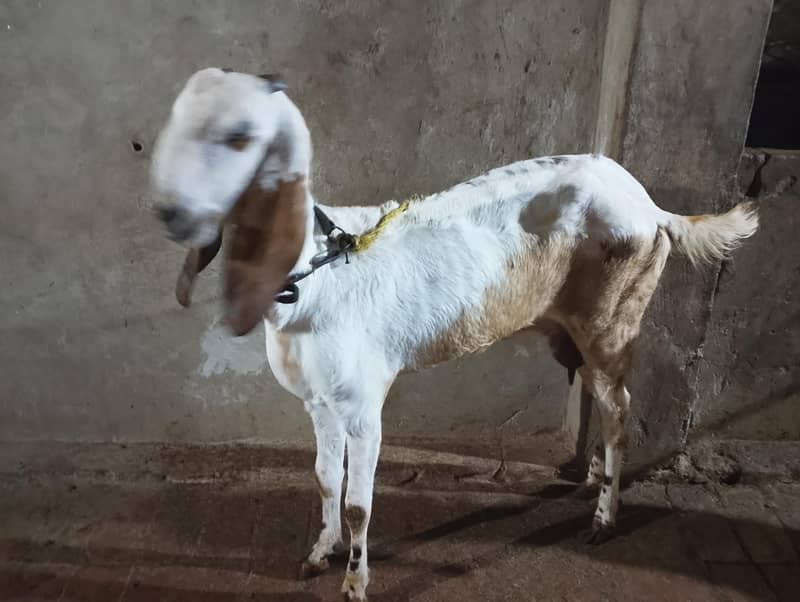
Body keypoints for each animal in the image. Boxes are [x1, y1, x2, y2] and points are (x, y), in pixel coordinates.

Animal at [152, 68, 758, 601]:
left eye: (240, 136)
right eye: (175, 120)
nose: (169, 213)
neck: (318, 269)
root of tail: (651, 206)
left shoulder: (362, 403)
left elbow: (358, 503)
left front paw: (355, 582)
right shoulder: (319, 401)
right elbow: (324, 479)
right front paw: (319, 553)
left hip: (613, 318)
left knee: (619, 409)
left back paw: (604, 518)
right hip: (574, 327)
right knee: (601, 396)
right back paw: (591, 479)